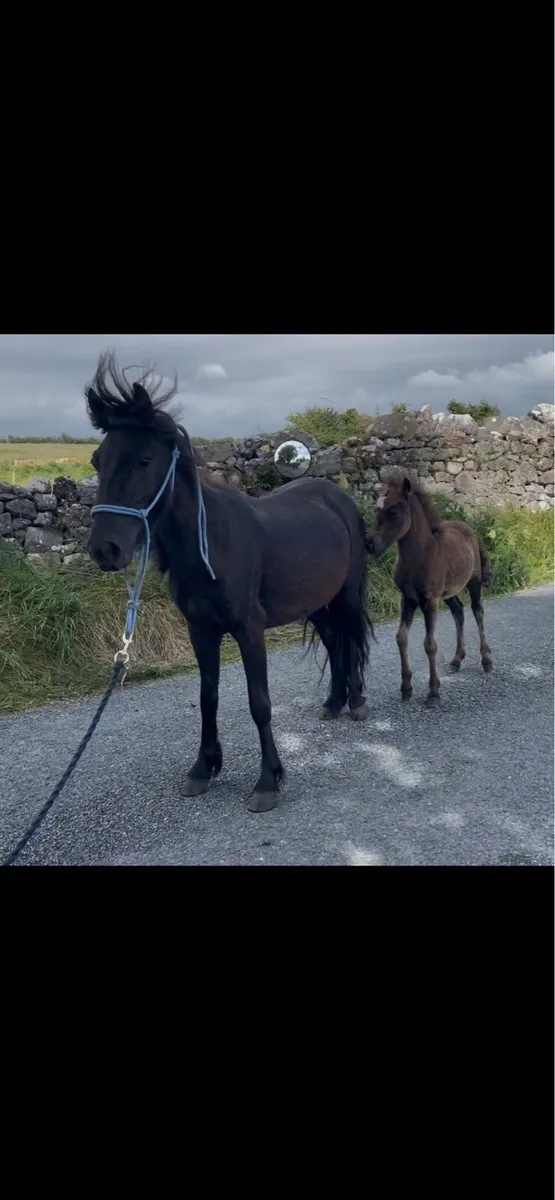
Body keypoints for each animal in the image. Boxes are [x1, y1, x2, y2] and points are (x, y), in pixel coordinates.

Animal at [85, 352, 373, 812]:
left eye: (145, 460)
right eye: (98, 460)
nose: (104, 549)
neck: (211, 547)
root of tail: (338, 497)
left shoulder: (248, 630)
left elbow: (260, 703)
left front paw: (268, 780)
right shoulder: (201, 630)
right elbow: (209, 698)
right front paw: (203, 768)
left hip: (345, 597)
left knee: (350, 637)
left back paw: (357, 701)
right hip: (315, 603)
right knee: (334, 642)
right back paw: (333, 702)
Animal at [366, 473, 493, 702]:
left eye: (394, 511)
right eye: (376, 509)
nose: (370, 544)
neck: (420, 556)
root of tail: (469, 529)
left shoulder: (430, 600)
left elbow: (430, 644)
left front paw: (433, 692)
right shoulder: (407, 599)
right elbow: (401, 638)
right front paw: (406, 687)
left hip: (473, 582)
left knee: (477, 612)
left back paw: (486, 660)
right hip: (449, 592)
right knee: (458, 611)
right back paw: (456, 660)